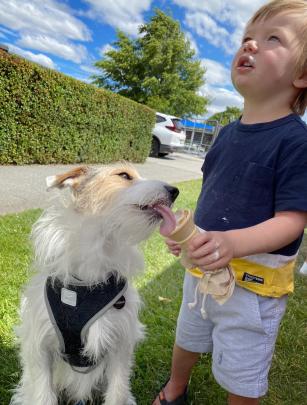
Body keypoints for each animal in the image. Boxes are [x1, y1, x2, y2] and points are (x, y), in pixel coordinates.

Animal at [11, 163, 178, 404]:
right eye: (124, 175)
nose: (175, 191)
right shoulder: (40, 347)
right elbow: (43, 395)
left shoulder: (120, 347)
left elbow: (117, 393)